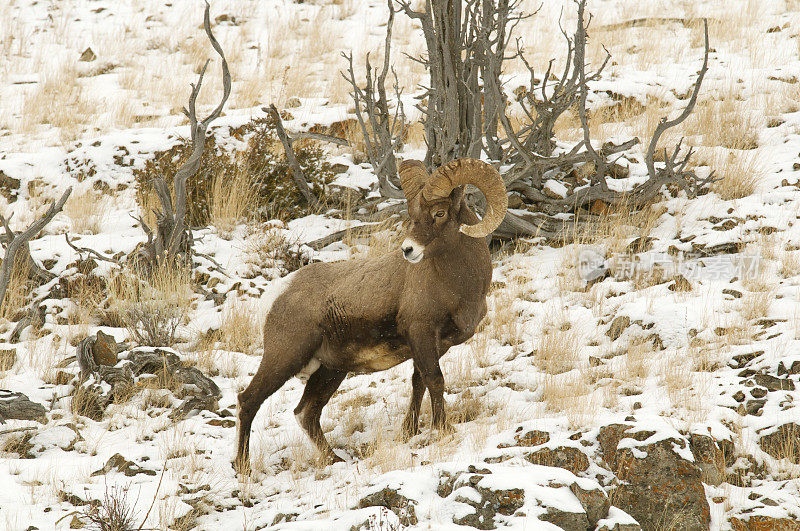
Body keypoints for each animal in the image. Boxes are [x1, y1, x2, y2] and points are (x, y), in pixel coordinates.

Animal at [234, 157, 506, 470]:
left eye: (439, 213)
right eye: (414, 214)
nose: (408, 250)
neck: (459, 283)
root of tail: (275, 295)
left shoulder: (432, 345)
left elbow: (419, 382)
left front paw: (409, 431)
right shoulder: (422, 333)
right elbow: (435, 380)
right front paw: (444, 430)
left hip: (330, 371)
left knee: (306, 413)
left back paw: (334, 459)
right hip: (284, 358)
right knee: (249, 401)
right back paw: (243, 468)